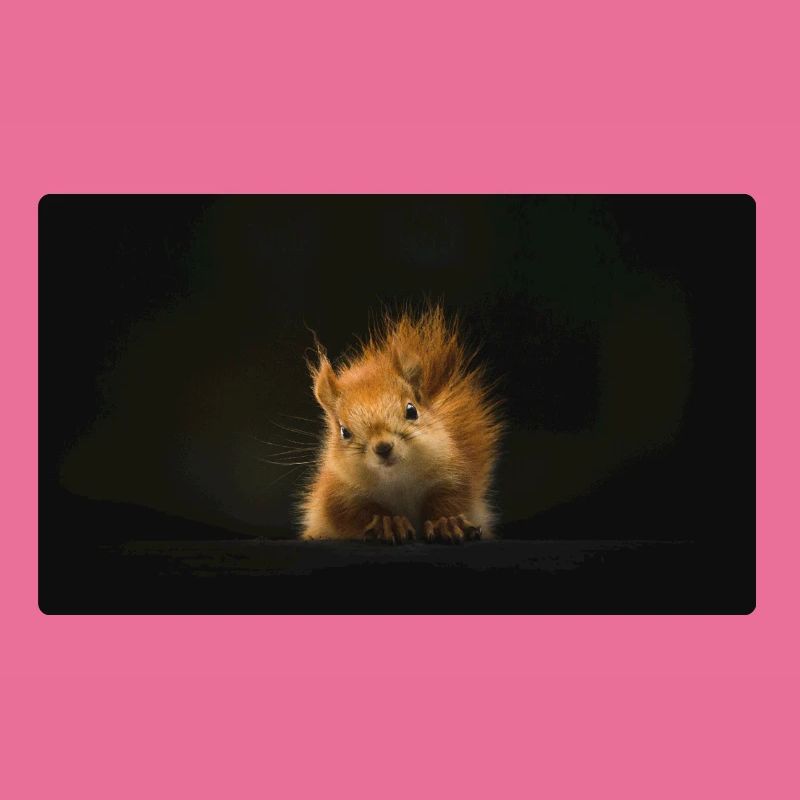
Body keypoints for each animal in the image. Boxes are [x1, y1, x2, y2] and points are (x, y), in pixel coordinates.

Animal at [299, 305, 503, 543]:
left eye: (411, 411)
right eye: (344, 432)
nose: (383, 447)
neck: (397, 479)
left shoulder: (453, 474)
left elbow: (451, 500)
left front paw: (446, 522)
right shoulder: (337, 494)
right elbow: (352, 514)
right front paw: (387, 523)